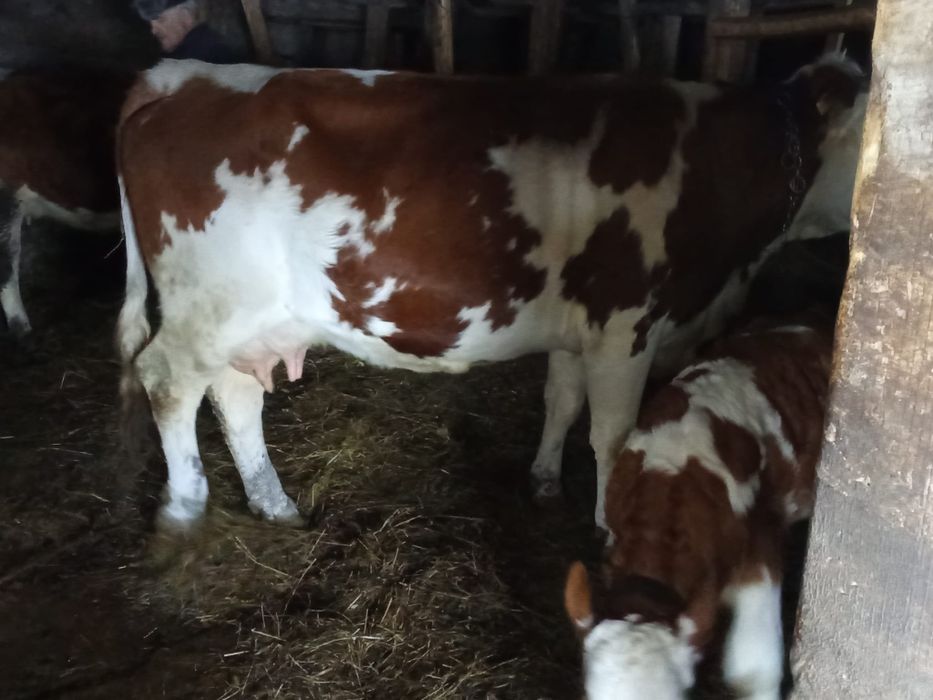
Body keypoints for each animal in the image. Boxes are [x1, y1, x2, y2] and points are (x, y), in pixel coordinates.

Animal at [115, 56, 864, 531]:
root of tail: (182, 74)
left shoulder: (579, 327)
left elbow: (561, 401)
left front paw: (543, 481)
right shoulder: (625, 324)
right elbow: (613, 433)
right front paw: (606, 525)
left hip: (249, 320)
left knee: (235, 396)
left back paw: (276, 508)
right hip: (208, 307)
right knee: (166, 381)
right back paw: (185, 508)